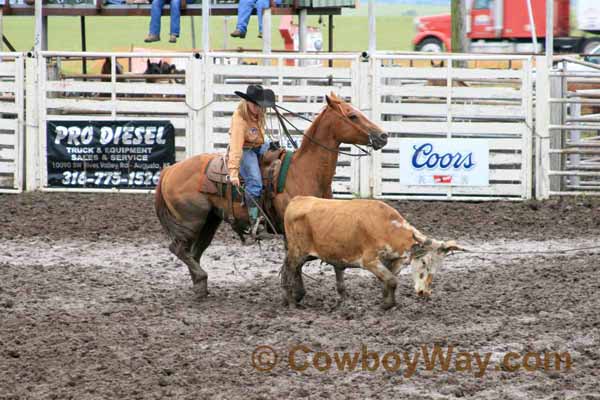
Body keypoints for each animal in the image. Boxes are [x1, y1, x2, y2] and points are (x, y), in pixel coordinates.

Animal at [156, 94, 390, 298]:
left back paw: (200, 287)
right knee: (178, 248)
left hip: (210, 221)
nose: (383, 136)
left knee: (194, 252)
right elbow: (297, 259)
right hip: (192, 221)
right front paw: (295, 291)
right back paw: (201, 278)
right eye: (352, 115)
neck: (304, 171)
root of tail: (170, 170)